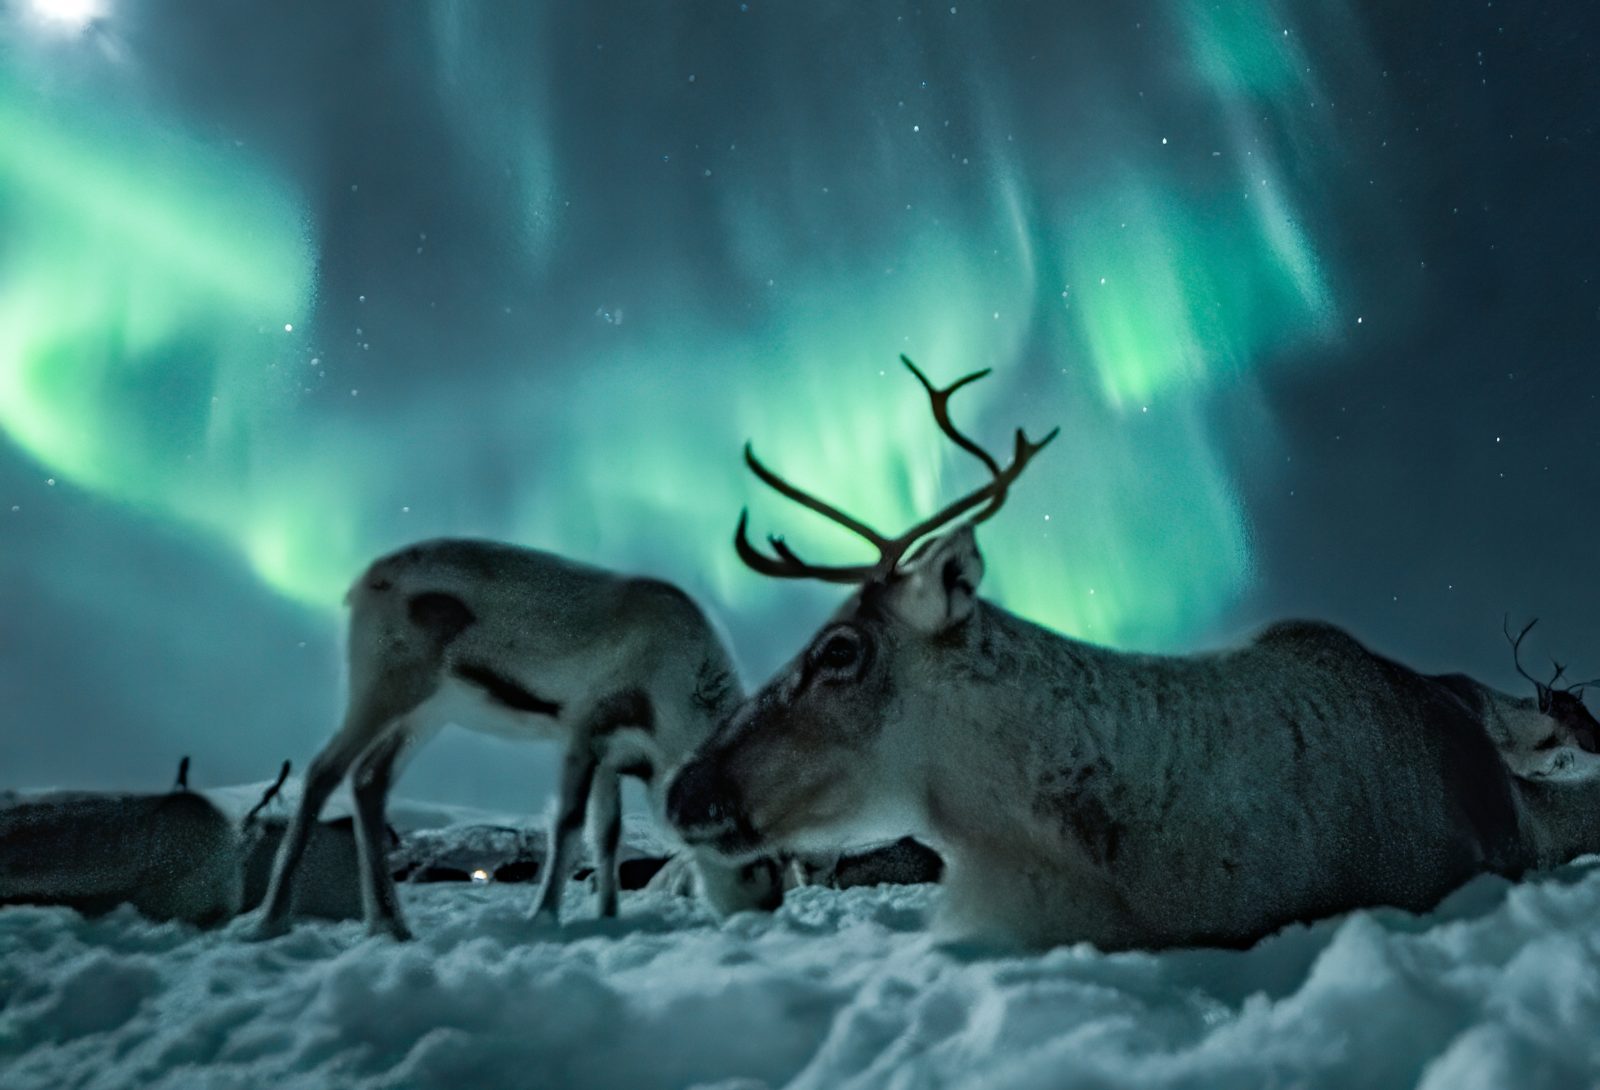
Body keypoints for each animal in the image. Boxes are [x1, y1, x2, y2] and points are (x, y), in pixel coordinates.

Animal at [251, 539, 782, 941]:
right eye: (750, 862)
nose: (766, 910)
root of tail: (364, 580)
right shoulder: (584, 730)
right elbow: (568, 824)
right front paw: (544, 916)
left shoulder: (615, 757)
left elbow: (607, 835)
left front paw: (608, 916)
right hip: (385, 682)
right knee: (324, 770)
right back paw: (271, 920)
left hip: (429, 712)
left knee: (368, 778)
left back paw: (390, 924)